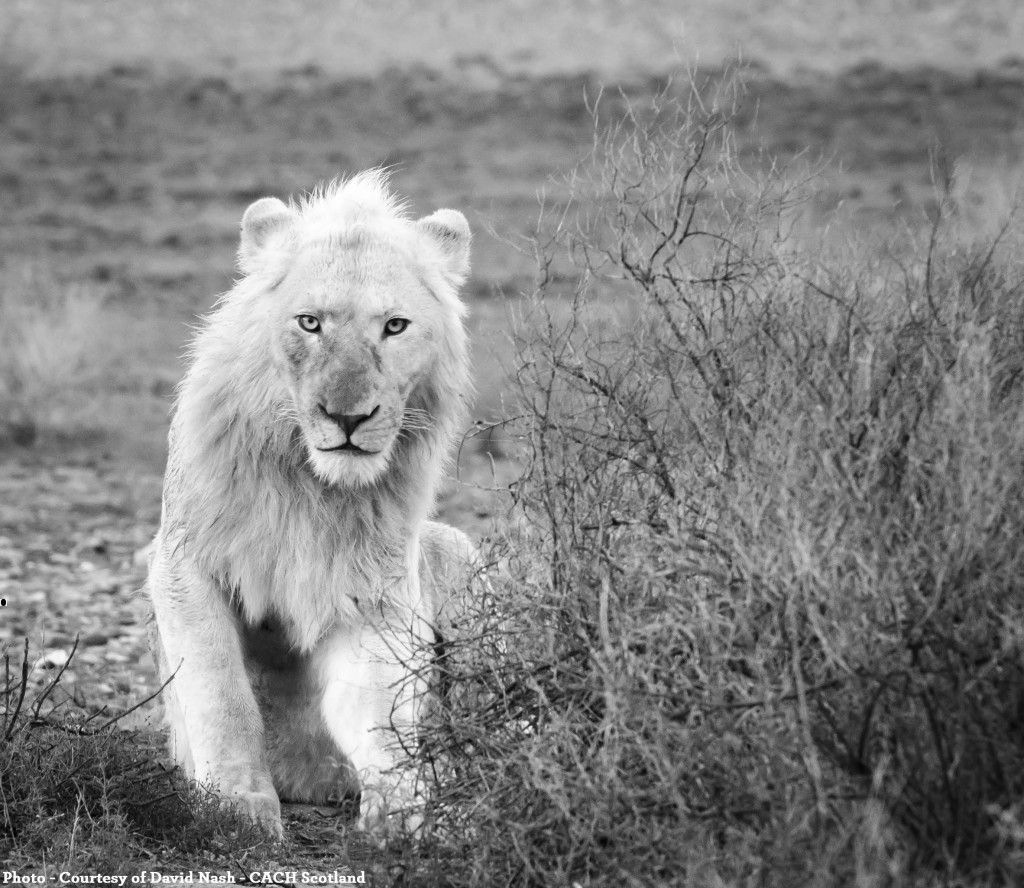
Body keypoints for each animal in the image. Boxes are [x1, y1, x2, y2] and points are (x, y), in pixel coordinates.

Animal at [146, 167, 473, 839]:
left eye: (394, 326)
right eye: (310, 323)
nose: (348, 418)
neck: (310, 485)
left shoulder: (375, 597)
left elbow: (382, 712)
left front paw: (402, 813)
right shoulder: (183, 565)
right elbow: (221, 695)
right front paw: (237, 808)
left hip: (463, 552)